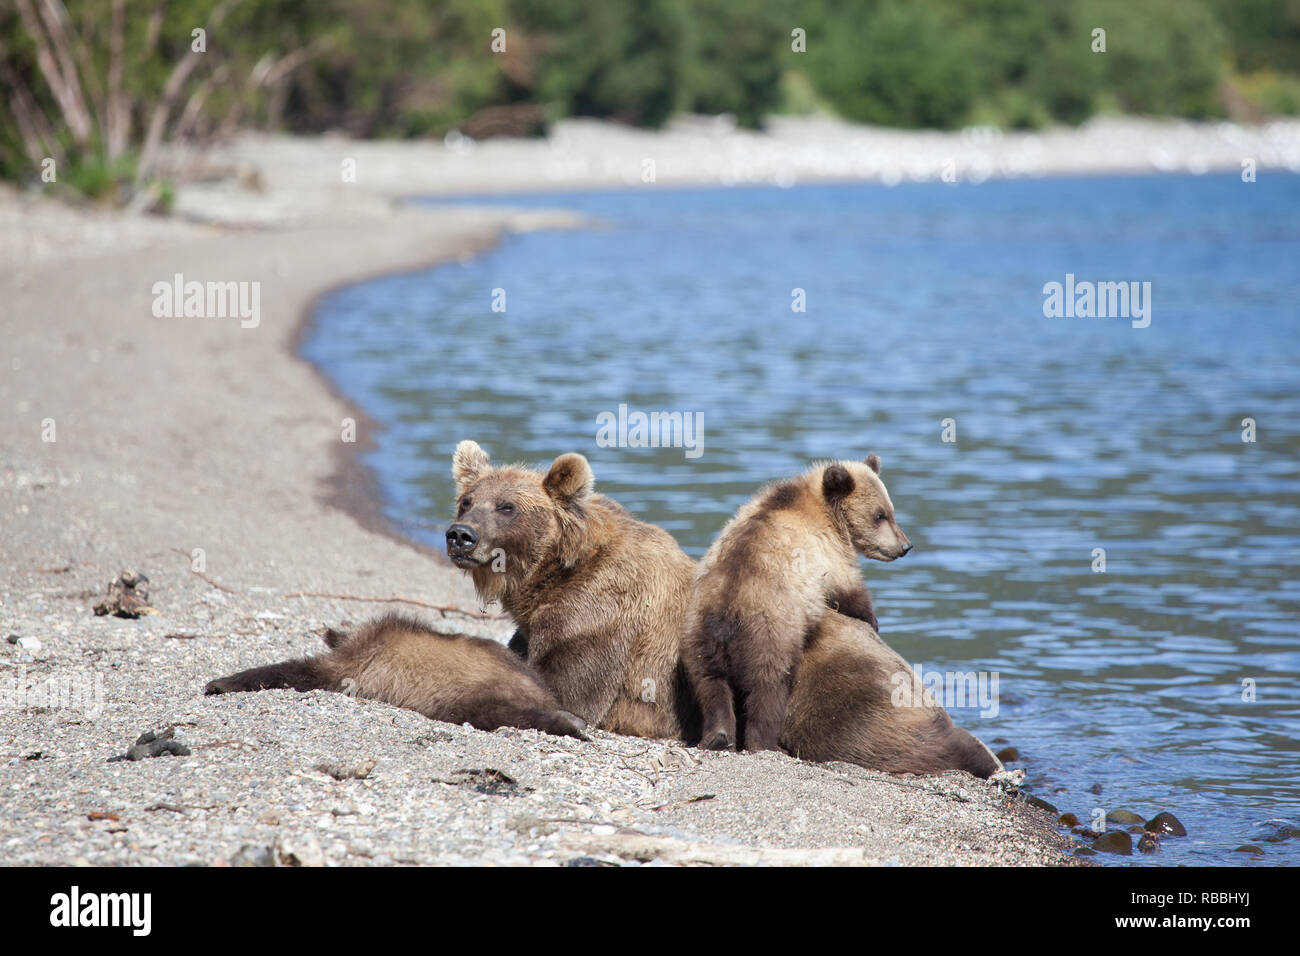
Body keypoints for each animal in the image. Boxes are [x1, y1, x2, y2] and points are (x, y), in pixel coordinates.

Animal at [204, 613, 587, 739]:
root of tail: (542, 690)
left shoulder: (353, 666)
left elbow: (298, 670)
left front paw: (220, 683)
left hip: (471, 692)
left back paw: (569, 721)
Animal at [684, 453, 911, 752]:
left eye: (890, 511)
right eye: (880, 515)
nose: (905, 546)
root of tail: (726, 612)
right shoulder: (827, 554)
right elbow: (848, 590)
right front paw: (871, 619)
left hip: (698, 635)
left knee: (710, 686)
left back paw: (717, 737)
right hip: (770, 632)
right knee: (769, 688)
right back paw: (767, 743)